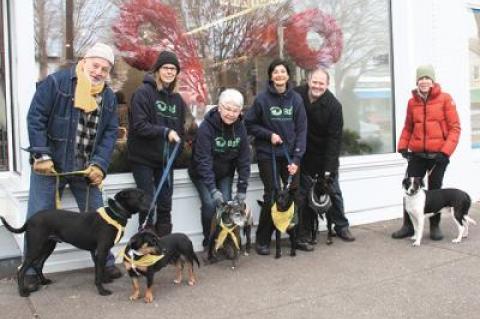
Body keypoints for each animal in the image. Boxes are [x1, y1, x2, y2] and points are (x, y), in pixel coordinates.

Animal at [0, 188, 150, 298]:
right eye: (140, 196)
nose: (151, 206)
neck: (115, 213)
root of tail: (30, 220)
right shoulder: (101, 250)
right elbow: (98, 272)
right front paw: (101, 290)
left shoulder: (99, 251)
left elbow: (99, 269)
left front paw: (104, 280)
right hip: (36, 247)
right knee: (21, 270)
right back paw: (23, 292)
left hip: (48, 246)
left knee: (38, 265)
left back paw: (43, 281)